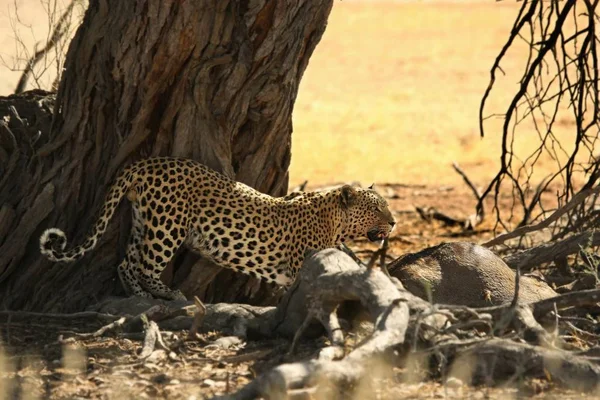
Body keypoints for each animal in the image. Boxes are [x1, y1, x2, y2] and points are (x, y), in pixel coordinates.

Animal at [37, 156, 394, 300]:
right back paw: (169, 294)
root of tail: (145, 162)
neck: (334, 222)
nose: (393, 222)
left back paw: (140, 296)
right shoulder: (298, 268)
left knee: (126, 263)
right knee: (145, 266)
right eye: (376, 208)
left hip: (143, 221)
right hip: (168, 225)